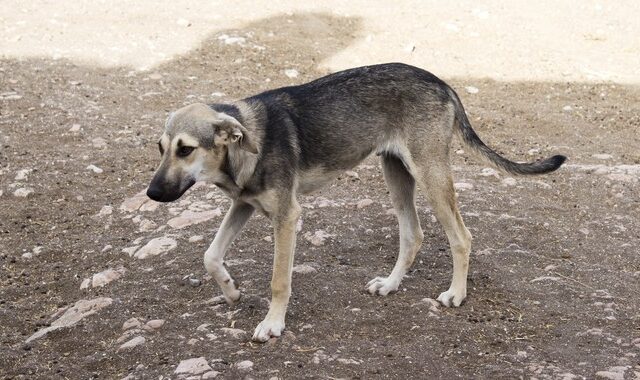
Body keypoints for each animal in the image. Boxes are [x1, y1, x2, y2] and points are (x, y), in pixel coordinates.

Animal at [146, 62, 564, 342]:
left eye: (186, 149)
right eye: (162, 148)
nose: (151, 194)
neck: (246, 145)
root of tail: (440, 82)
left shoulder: (286, 215)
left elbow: (279, 281)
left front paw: (273, 323)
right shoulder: (244, 204)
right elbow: (210, 255)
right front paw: (231, 290)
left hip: (430, 176)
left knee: (461, 237)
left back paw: (456, 294)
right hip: (396, 174)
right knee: (413, 235)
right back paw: (391, 285)